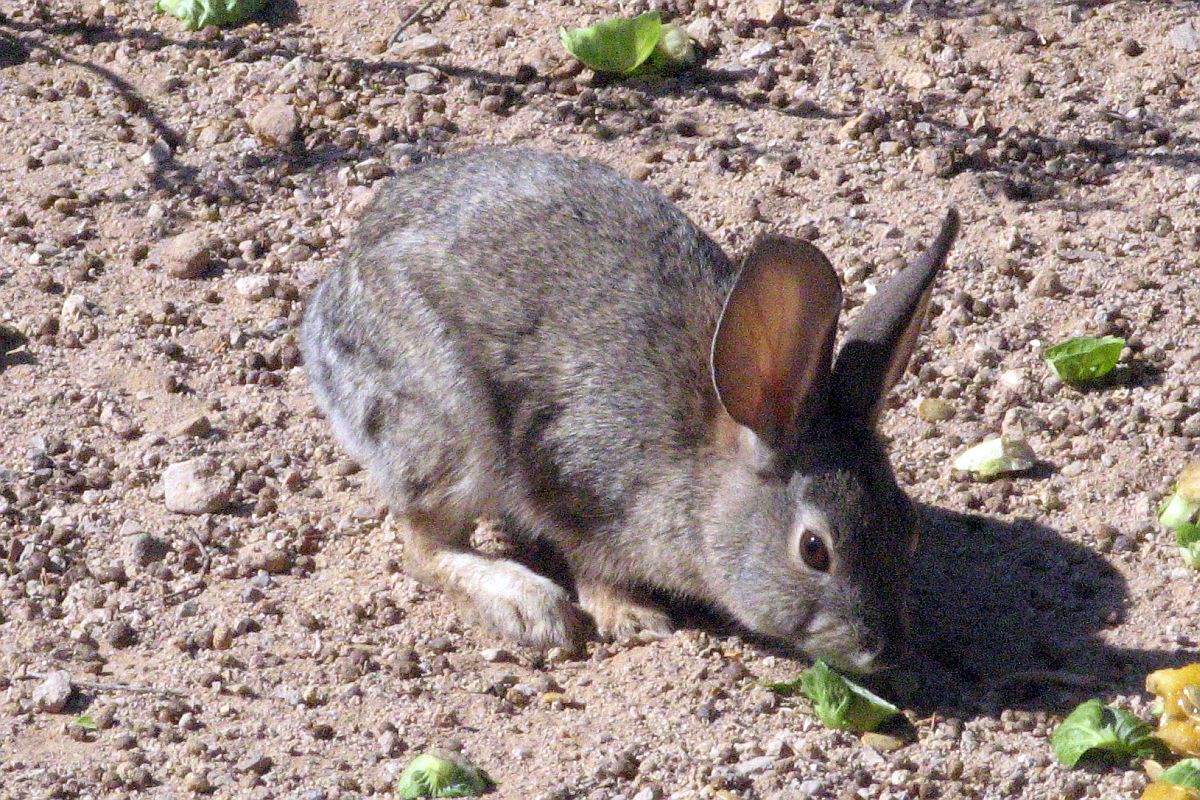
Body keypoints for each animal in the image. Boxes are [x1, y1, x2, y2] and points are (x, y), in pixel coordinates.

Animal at [304, 149, 960, 676]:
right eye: (814, 550)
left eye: (909, 527)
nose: (882, 652)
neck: (707, 478)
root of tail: (332, 303)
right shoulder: (573, 481)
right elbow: (589, 561)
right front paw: (633, 615)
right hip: (453, 430)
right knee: (421, 543)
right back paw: (527, 604)